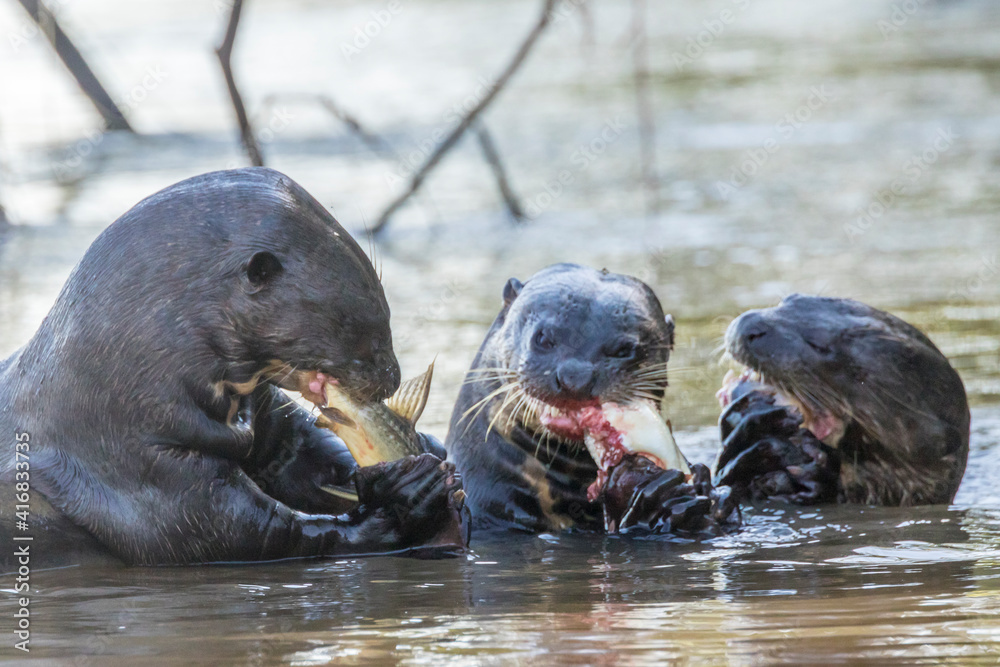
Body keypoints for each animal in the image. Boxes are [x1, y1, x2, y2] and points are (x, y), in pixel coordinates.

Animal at [0, 168, 466, 567]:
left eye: (385, 311)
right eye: (356, 323)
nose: (392, 378)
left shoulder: (256, 409)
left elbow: (300, 451)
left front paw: (429, 451)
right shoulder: (140, 466)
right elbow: (246, 530)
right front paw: (402, 502)